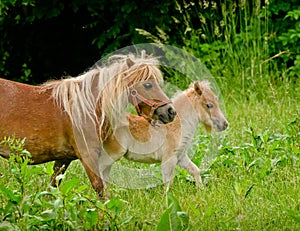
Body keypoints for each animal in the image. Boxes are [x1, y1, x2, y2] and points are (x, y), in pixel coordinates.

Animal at [0, 53, 176, 198]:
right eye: (148, 85)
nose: (171, 111)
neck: (86, 107)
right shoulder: (88, 156)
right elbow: (100, 190)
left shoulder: (63, 159)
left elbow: (52, 189)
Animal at [98, 80, 227, 189]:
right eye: (209, 105)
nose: (225, 124)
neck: (176, 126)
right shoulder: (169, 159)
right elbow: (168, 183)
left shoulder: (181, 157)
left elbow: (195, 170)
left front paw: (201, 190)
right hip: (112, 154)